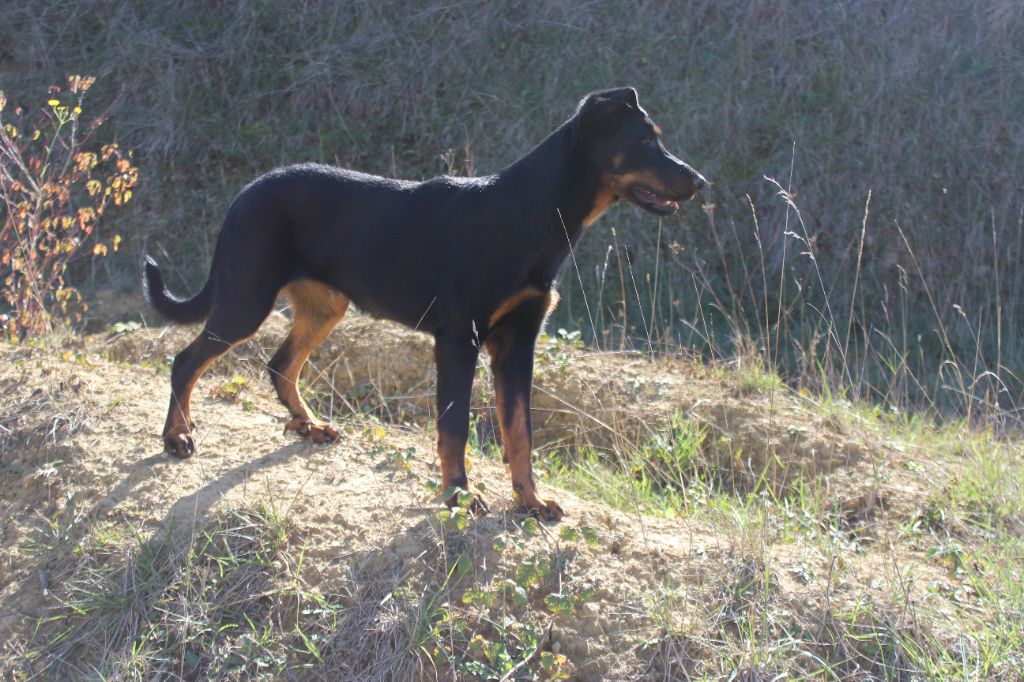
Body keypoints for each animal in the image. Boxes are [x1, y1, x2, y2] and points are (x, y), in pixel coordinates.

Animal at [144, 87, 704, 518]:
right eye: (646, 140)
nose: (700, 181)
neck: (530, 213)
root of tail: (243, 194)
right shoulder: (459, 339)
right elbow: (454, 427)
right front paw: (458, 496)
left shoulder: (517, 345)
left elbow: (519, 432)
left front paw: (530, 502)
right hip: (246, 298)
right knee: (185, 361)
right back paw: (176, 437)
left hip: (325, 307)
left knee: (280, 364)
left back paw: (308, 425)